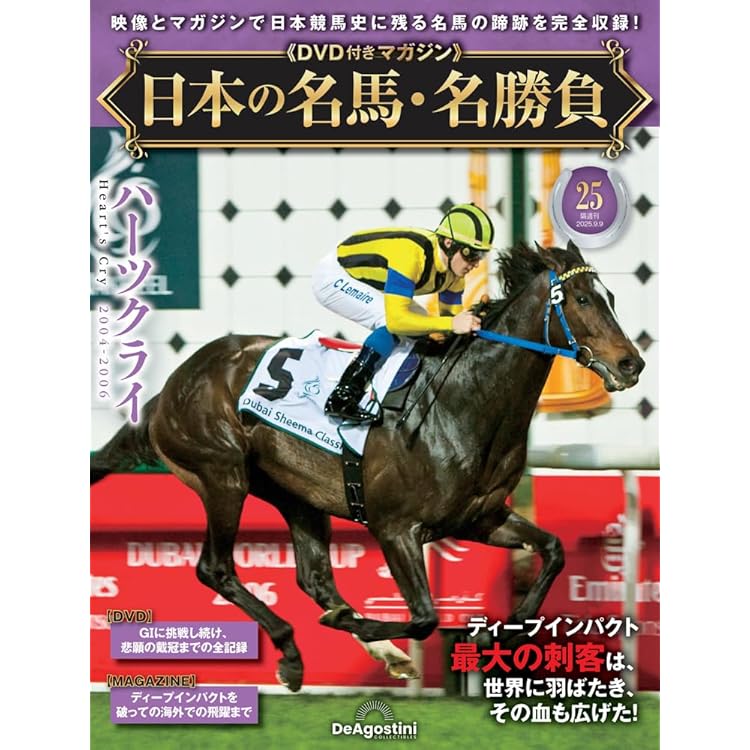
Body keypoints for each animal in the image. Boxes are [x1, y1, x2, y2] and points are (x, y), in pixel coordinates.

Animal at [90, 240, 644, 692]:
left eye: (612, 298)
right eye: (581, 300)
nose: (631, 364)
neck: (463, 403)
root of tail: (167, 392)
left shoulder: (479, 518)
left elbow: (552, 551)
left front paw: (497, 638)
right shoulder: (395, 527)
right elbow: (423, 617)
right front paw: (357, 626)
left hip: (295, 494)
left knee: (315, 579)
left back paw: (365, 649)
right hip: (222, 475)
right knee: (216, 568)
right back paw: (296, 651)